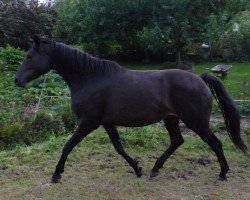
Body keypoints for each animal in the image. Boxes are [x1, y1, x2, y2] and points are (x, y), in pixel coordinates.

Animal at [14, 35, 246, 183]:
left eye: (29, 56)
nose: (16, 80)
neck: (90, 78)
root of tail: (200, 79)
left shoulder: (88, 122)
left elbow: (67, 146)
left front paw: (56, 174)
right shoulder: (106, 123)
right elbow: (119, 147)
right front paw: (138, 168)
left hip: (196, 122)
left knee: (215, 143)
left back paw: (223, 174)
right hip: (171, 118)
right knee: (177, 141)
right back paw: (155, 169)